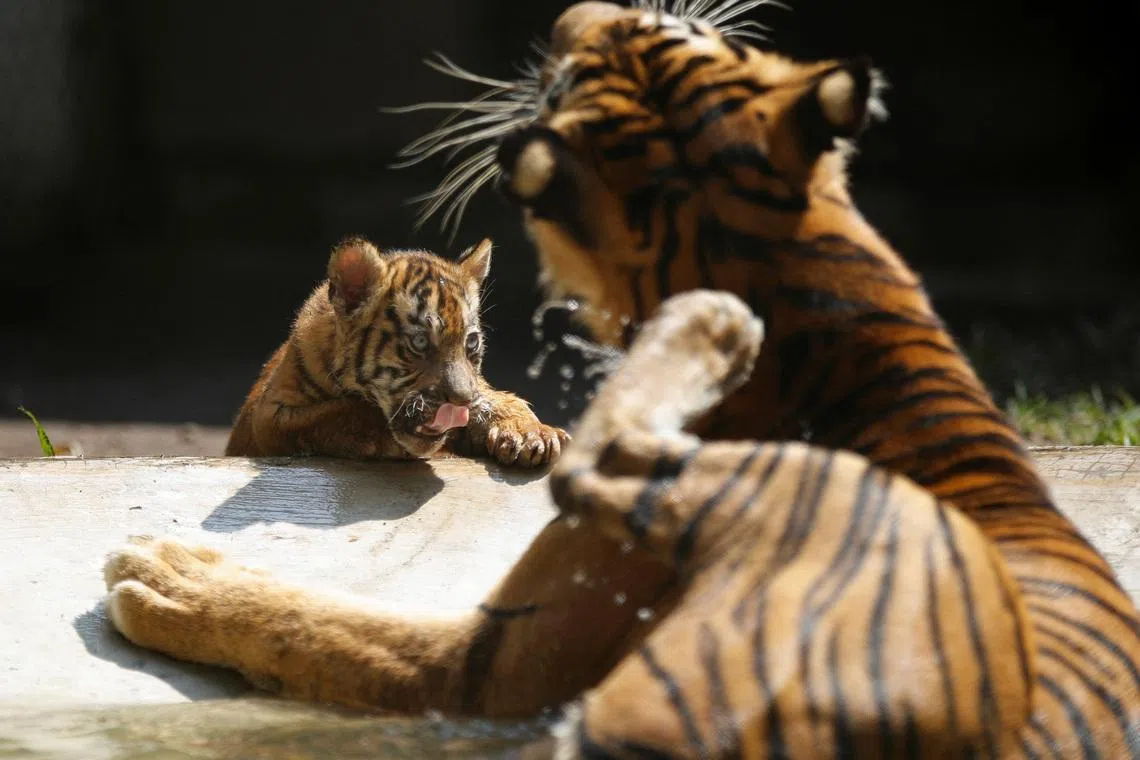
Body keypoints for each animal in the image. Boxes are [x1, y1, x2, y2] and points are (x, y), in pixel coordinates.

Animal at [224, 236, 569, 467]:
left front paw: (531, 433)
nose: (462, 401)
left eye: (470, 343)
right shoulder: (271, 412)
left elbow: (496, 397)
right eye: (419, 342)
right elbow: (340, 410)